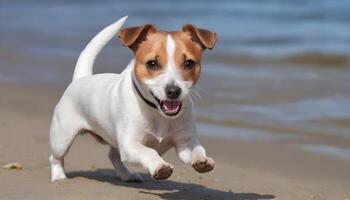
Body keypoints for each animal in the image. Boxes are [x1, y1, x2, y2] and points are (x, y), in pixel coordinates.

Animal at [49, 16, 217, 182]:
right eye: (152, 63)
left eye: (189, 63)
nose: (173, 91)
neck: (158, 114)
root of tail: (82, 78)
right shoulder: (130, 144)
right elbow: (149, 151)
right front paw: (159, 165)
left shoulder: (185, 142)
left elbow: (197, 149)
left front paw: (202, 159)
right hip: (62, 139)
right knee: (55, 158)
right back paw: (58, 177)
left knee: (114, 156)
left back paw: (127, 175)